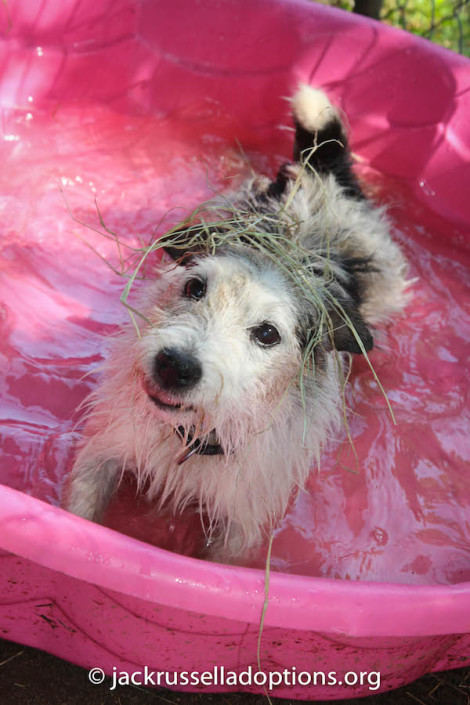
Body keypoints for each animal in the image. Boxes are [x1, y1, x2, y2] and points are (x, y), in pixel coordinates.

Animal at [66, 84, 408, 560]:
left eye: (267, 333)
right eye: (195, 287)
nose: (175, 365)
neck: (196, 436)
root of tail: (321, 171)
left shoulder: (241, 524)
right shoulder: (106, 449)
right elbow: (82, 505)